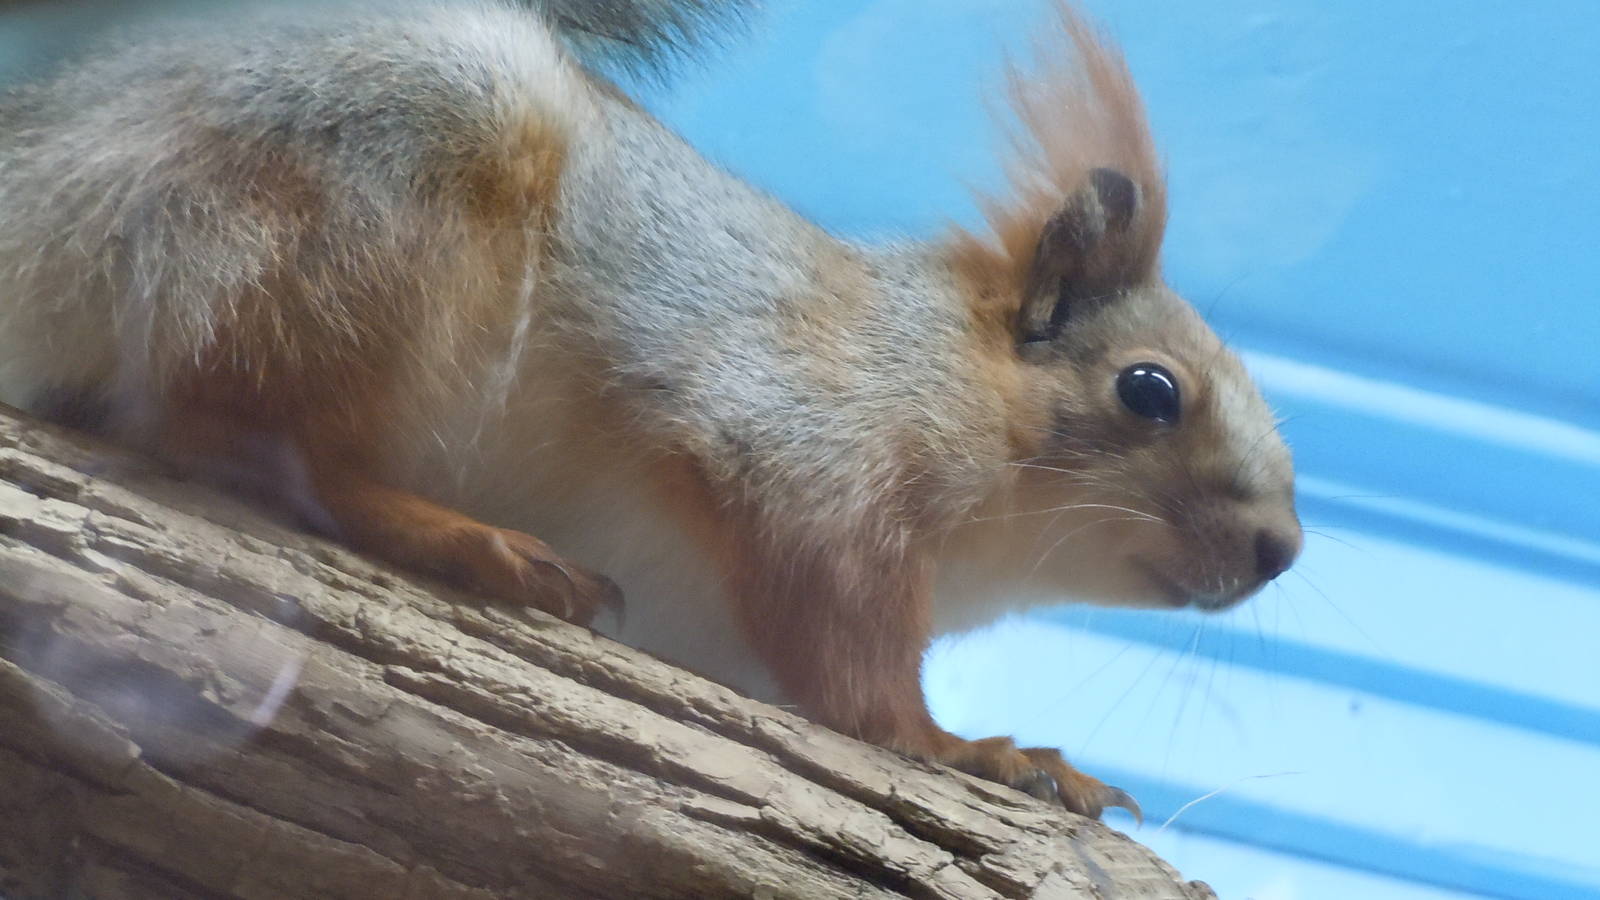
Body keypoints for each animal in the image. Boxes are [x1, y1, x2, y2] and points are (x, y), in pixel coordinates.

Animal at [0, 0, 1301, 820]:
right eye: (1148, 388)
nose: (1281, 550)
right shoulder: (803, 443)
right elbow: (846, 650)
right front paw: (970, 749)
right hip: (336, 219)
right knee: (229, 434)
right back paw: (474, 543)